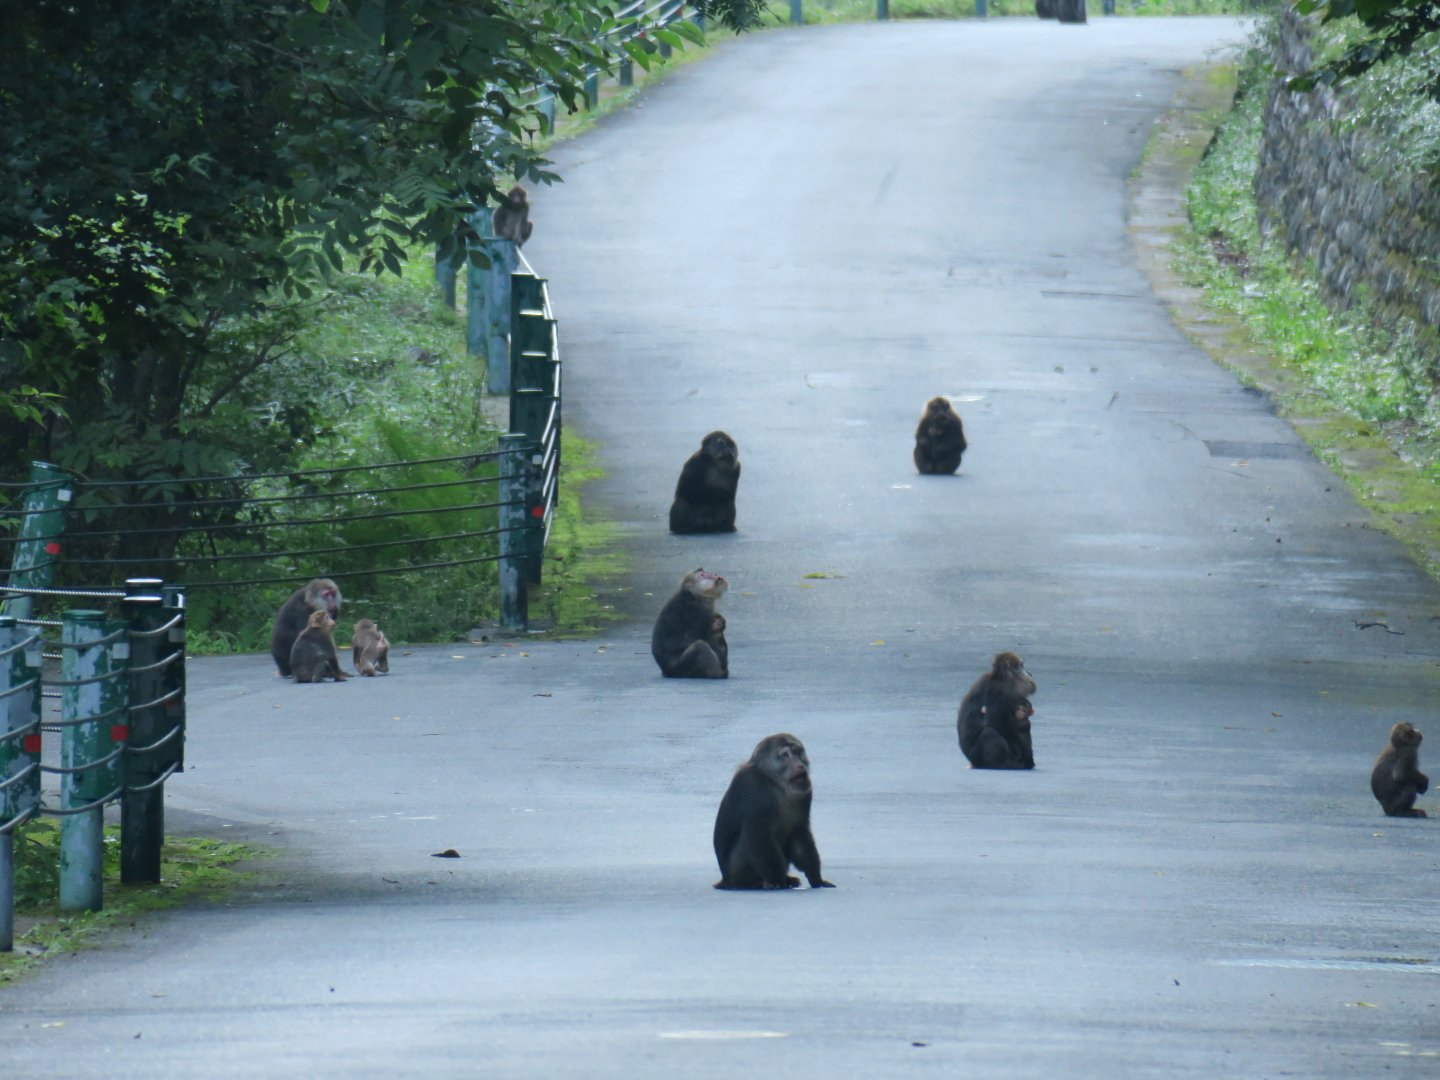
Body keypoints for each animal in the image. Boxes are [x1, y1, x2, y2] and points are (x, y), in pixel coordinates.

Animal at [713, 733, 834, 890]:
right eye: (785, 755)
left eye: (797, 752)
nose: (800, 765)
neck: (776, 784)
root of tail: (726, 880)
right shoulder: (754, 788)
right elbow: (757, 835)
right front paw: (776, 880)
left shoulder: (806, 791)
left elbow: (798, 831)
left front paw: (816, 877)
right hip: (736, 872)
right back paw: (754, 883)